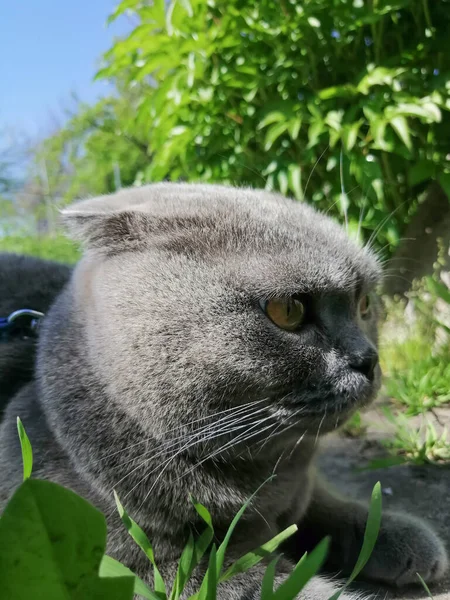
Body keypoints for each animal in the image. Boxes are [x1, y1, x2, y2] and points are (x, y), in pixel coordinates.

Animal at [0, 184, 446, 600]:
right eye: (288, 310)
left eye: (365, 304)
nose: (367, 359)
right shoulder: (151, 569)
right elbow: (280, 586)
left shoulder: (297, 494)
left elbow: (328, 507)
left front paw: (405, 538)